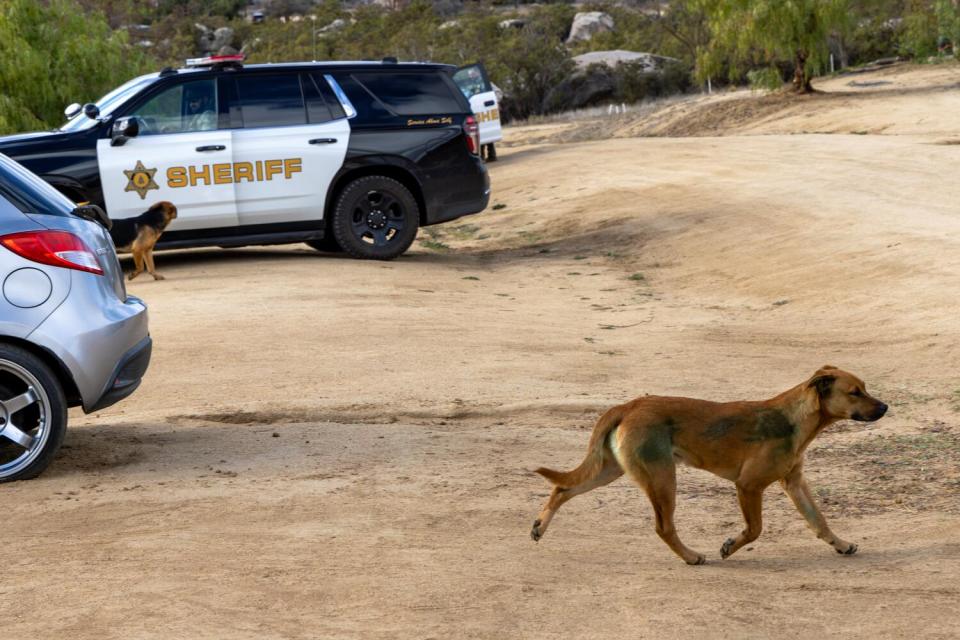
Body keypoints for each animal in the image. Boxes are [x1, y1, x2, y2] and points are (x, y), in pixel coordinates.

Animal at [528, 364, 888, 564]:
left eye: (865, 388)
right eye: (855, 392)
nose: (885, 407)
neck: (794, 420)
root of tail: (627, 406)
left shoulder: (794, 483)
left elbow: (820, 521)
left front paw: (841, 544)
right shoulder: (749, 486)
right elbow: (755, 529)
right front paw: (729, 547)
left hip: (609, 469)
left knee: (562, 488)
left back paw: (539, 527)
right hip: (662, 479)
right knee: (663, 527)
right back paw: (691, 557)